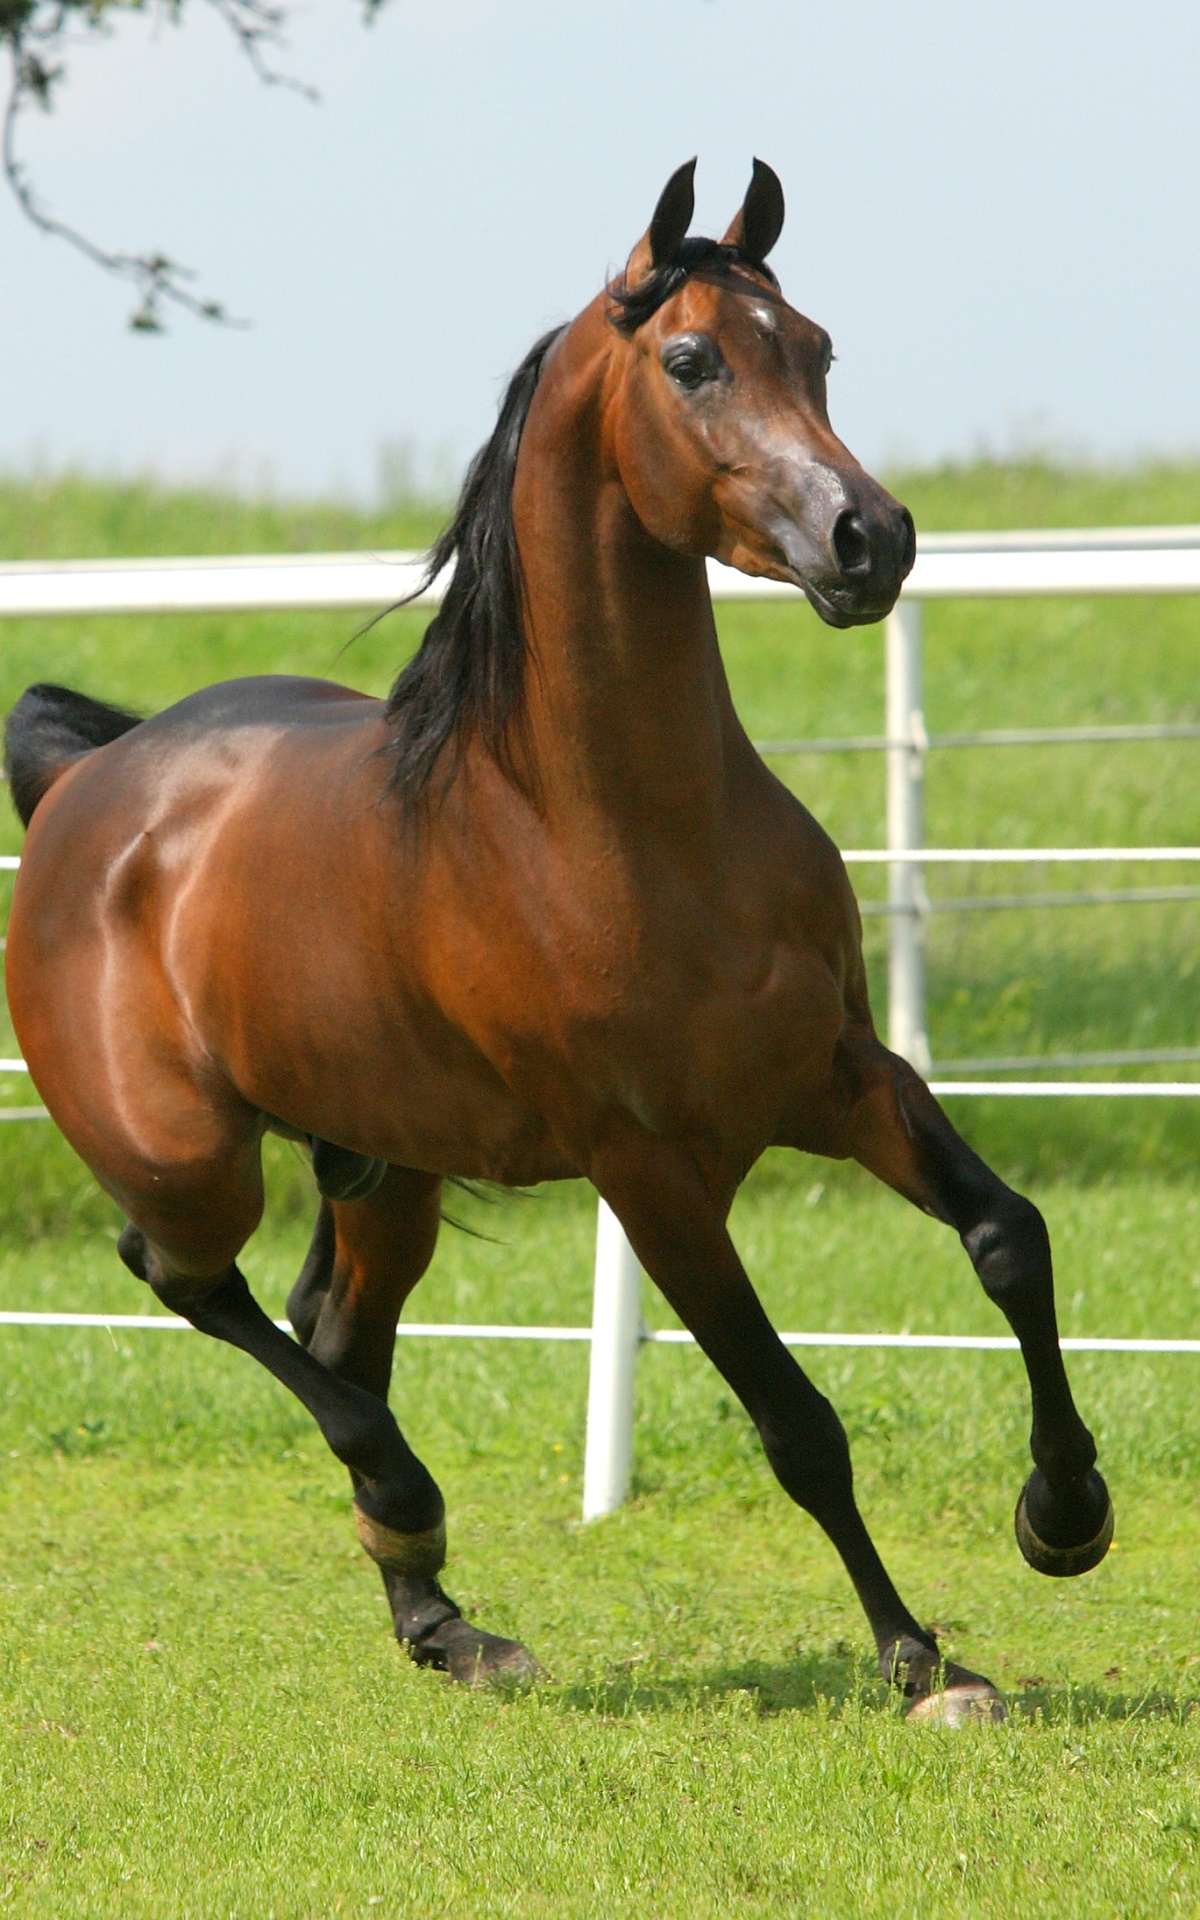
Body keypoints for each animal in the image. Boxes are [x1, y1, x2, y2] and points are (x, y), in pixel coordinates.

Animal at [4, 159, 1112, 1723]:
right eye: (692, 360)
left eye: (818, 348)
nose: (871, 540)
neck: (625, 830)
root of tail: (85, 780)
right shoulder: (649, 1172)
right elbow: (797, 1422)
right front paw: (918, 1659)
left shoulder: (840, 1075)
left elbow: (1010, 1237)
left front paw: (1063, 1516)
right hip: (188, 1158)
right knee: (187, 1280)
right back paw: (408, 1507)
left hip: (386, 1167)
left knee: (337, 1328)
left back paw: (443, 1620)